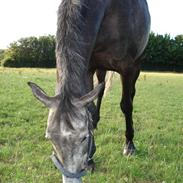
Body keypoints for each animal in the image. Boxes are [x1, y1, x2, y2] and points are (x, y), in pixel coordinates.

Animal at [27, 0, 150, 182]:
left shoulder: (127, 67)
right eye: (49, 138)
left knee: (130, 95)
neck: (112, 9)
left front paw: (129, 146)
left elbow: (126, 105)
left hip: (136, 66)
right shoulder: (88, 66)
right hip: (101, 68)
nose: (72, 179)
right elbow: (90, 107)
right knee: (101, 90)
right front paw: (91, 159)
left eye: (84, 137)